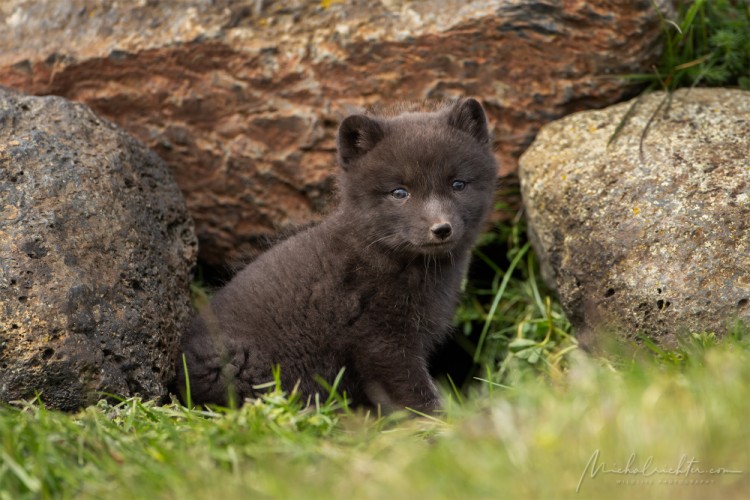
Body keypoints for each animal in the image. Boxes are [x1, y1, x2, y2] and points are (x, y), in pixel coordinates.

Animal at [176, 98, 500, 414]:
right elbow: (412, 391)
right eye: (399, 192)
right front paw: (440, 422)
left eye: (458, 184)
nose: (441, 228)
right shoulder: (380, 338)